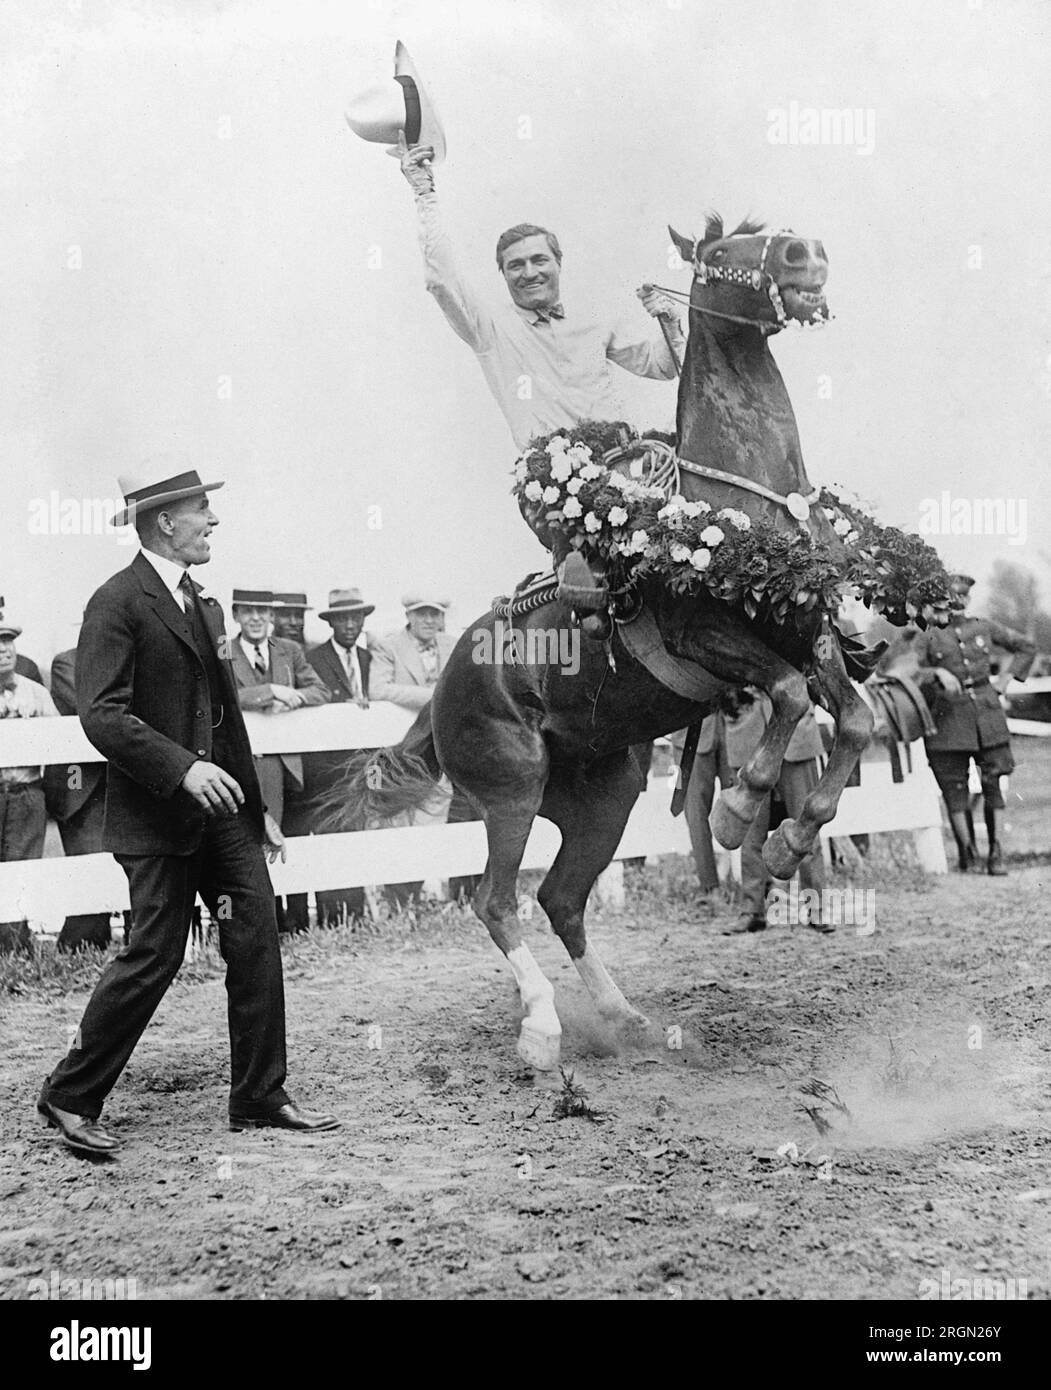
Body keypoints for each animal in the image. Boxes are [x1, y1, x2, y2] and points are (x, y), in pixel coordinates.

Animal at [336, 216, 873, 1067]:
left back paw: (619, 1014)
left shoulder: (806, 632)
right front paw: (738, 811)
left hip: (606, 795)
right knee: (496, 902)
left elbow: (853, 719)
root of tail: (446, 682)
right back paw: (540, 1027)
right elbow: (786, 697)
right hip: (510, 787)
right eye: (721, 251)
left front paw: (791, 836)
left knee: (562, 899)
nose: (803, 254)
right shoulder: (705, 636)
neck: (738, 508)